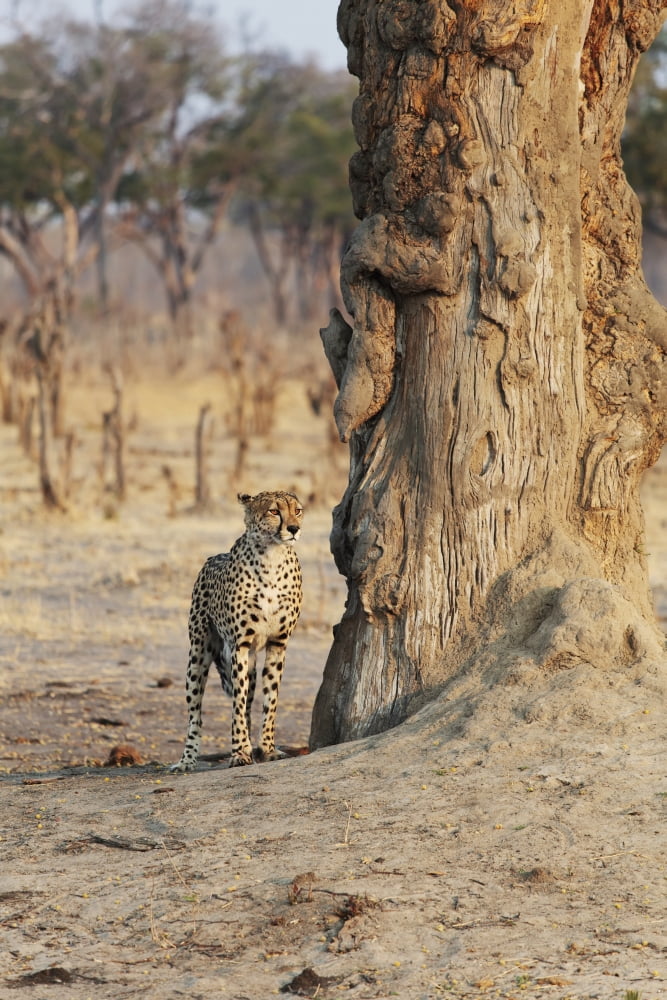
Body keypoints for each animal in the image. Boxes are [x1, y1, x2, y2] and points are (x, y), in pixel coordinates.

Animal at [171, 490, 303, 772]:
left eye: (297, 510)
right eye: (274, 511)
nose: (294, 529)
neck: (272, 557)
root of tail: (213, 557)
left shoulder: (278, 644)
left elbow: (270, 701)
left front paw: (268, 749)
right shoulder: (239, 645)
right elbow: (237, 705)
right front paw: (239, 752)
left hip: (249, 661)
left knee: (249, 701)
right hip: (198, 655)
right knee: (195, 715)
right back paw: (187, 760)